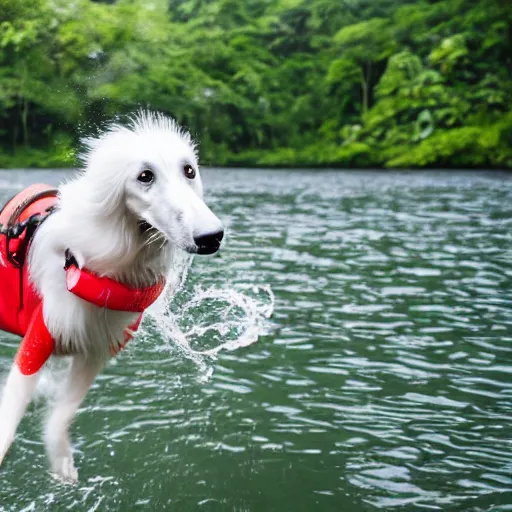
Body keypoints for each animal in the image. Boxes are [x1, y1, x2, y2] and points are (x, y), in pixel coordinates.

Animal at [0, 110, 224, 482]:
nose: (212, 237)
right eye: (144, 176)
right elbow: (9, 416)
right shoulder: (39, 337)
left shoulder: (95, 350)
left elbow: (62, 415)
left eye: (189, 170)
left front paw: (63, 466)